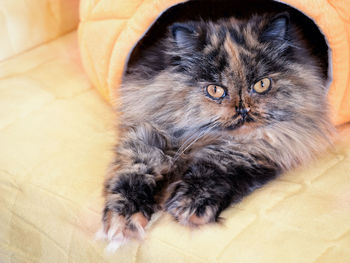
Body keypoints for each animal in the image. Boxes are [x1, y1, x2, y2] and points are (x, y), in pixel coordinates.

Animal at [98, 11, 330, 250]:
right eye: (215, 90)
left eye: (262, 85)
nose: (243, 110)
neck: (206, 137)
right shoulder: (146, 139)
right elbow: (131, 177)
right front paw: (123, 221)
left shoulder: (253, 151)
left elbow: (212, 173)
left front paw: (189, 205)